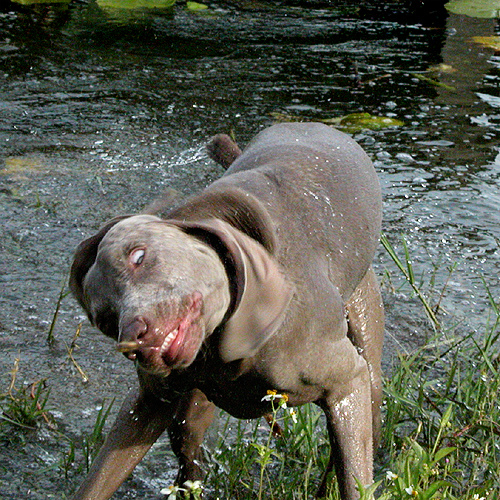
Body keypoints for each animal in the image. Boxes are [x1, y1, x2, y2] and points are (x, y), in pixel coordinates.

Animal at [69, 122, 382, 500]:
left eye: (138, 256)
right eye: (105, 318)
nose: (135, 337)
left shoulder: (347, 383)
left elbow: (354, 477)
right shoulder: (150, 403)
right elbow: (98, 479)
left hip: (368, 354)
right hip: (190, 410)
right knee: (188, 453)